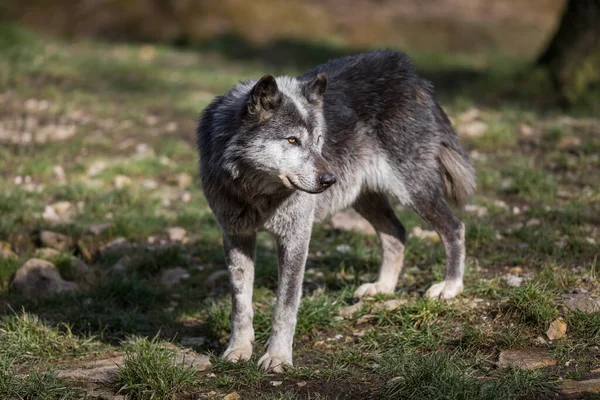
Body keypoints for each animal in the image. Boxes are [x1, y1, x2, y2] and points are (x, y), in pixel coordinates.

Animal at [197, 49, 474, 372]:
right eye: (292, 140)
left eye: (319, 141)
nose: (329, 179)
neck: (257, 192)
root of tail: (408, 72)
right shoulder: (236, 236)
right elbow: (240, 304)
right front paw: (238, 350)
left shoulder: (296, 237)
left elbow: (285, 306)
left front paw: (278, 357)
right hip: (364, 198)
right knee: (397, 233)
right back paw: (383, 287)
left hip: (414, 191)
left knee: (454, 227)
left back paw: (450, 287)